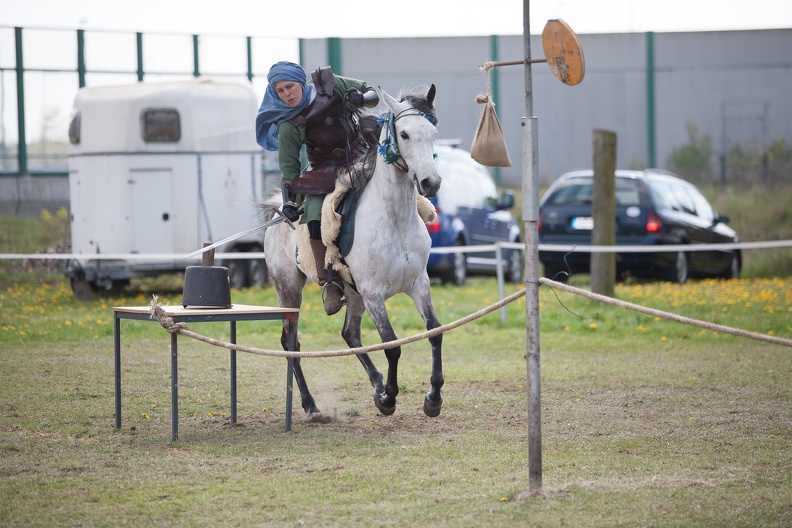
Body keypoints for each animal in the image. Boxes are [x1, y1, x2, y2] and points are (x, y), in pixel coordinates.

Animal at [262, 84, 442, 418]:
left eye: (433, 132)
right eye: (405, 134)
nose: (431, 182)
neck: (394, 219)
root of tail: (279, 211)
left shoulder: (418, 284)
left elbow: (434, 331)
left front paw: (432, 398)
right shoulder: (373, 294)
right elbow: (391, 345)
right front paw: (389, 398)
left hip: (352, 292)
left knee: (350, 333)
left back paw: (376, 383)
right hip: (289, 289)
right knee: (291, 342)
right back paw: (310, 404)